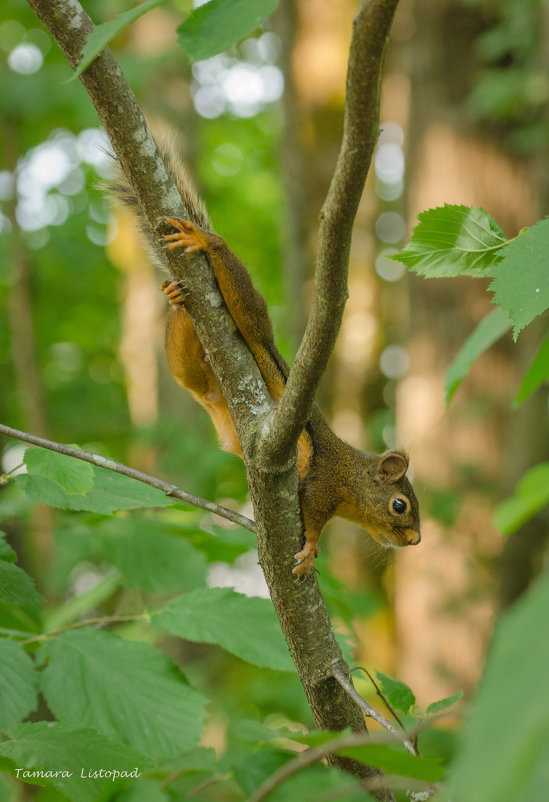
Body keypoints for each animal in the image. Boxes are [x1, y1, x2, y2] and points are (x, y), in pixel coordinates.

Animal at [112, 141, 420, 572]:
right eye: (399, 505)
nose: (416, 540)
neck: (352, 475)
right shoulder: (323, 485)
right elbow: (314, 518)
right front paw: (311, 550)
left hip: (196, 374)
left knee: (184, 367)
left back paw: (175, 298)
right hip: (253, 322)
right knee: (247, 306)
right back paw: (208, 243)